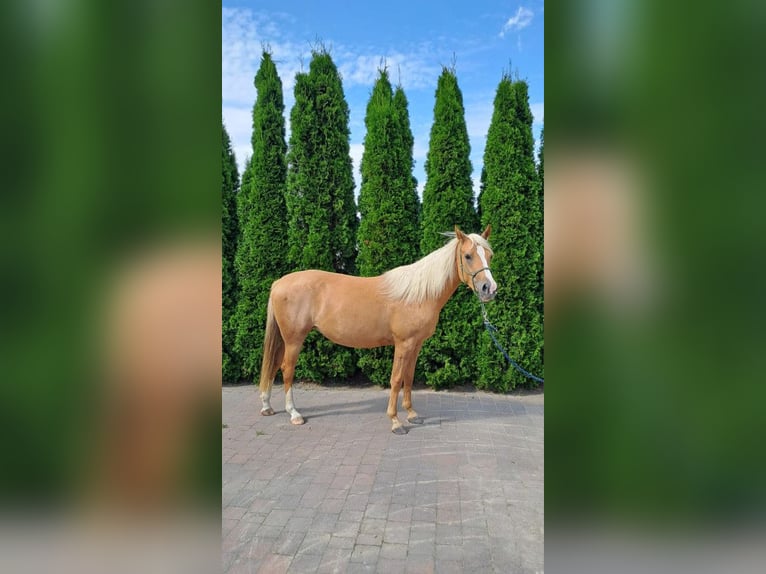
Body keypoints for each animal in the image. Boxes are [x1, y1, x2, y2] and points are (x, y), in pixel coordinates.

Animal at [258, 225, 497, 434]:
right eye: (468, 256)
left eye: (489, 255)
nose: (489, 289)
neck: (418, 294)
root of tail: (278, 283)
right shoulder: (403, 344)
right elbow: (396, 379)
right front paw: (395, 422)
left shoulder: (415, 345)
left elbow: (409, 377)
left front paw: (412, 414)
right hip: (294, 339)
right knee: (286, 370)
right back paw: (294, 414)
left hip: (284, 339)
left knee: (273, 366)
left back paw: (267, 406)